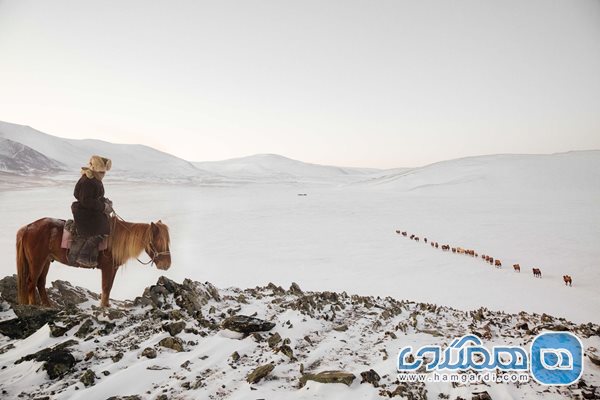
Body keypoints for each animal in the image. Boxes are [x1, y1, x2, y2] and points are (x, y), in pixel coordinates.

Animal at [17, 216, 171, 306]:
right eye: (158, 243)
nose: (167, 265)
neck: (116, 239)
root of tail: (28, 227)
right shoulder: (107, 268)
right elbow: (106, 287)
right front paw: (104, 308)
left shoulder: (113, 269)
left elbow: (109, 288)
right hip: (37, 262)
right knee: (31, 283)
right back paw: (35, 306)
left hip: (46, 261)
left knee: (40, 283)